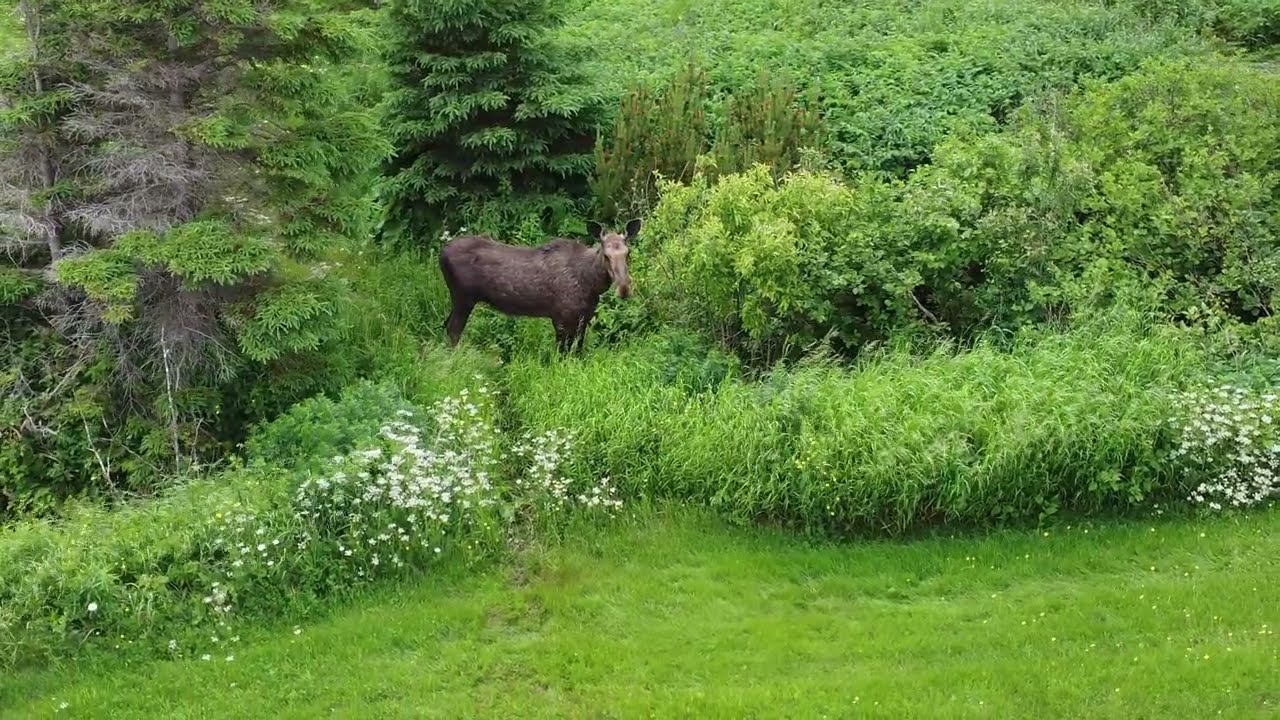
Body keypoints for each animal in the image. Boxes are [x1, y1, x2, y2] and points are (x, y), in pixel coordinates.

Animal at [438, 219, 641, 354]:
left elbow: (578, 351)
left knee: (446, 325)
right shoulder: (561, 317)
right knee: (454, 329)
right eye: (606, 255)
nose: (624, 289)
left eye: (628, 253)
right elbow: (563, 352)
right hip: (463, 297)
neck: (592, 284)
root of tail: (442, 253)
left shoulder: (584, 318)